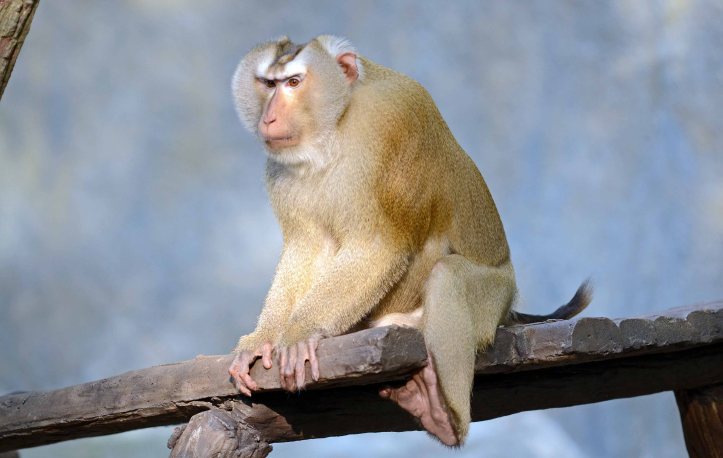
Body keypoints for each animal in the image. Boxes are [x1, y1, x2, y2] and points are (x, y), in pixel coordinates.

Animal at [228, 35, 592, 446]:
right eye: (267, 83)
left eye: (293, 82)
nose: (269, 118)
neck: (337, 125)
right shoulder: (281, 169)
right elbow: (306, 247)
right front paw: (262, 338)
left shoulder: (393, 120)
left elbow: (381, 245)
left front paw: (300, 331)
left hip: (494, 296)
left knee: (448, 276)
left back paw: (444, 416)